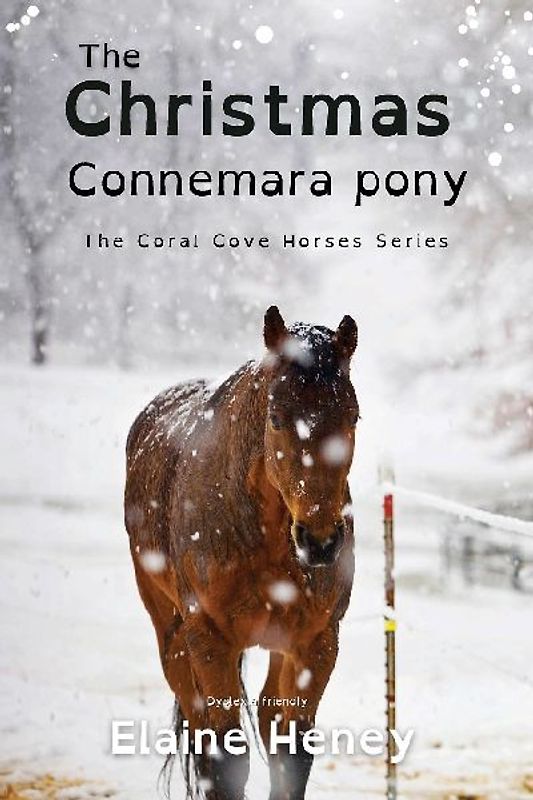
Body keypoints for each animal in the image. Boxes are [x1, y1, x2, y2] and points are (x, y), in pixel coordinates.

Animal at [124, 306, 359, 800]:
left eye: (353, 417)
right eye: (277, 418)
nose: (320, 540)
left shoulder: (317, 642)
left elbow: (292, 753)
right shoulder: (210, 641)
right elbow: (226, 757)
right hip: (172, 638)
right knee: (201, 734)